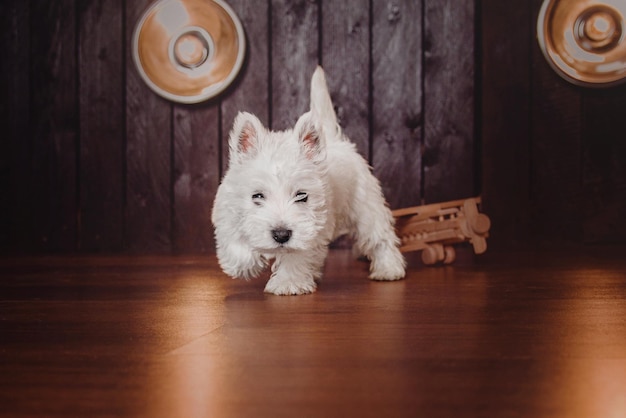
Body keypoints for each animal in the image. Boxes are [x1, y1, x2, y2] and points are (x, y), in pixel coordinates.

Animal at [210, 66, 404, 294]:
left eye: (301, 196)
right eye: (257, 196)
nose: (281, 234)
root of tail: (335, 140)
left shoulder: (311, 228)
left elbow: (297, 254)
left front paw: (288, 283)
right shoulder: (226, 210)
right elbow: (233, 238)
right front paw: (244, 265)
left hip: (367, 209)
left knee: (380, 238)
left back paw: (389, 269)